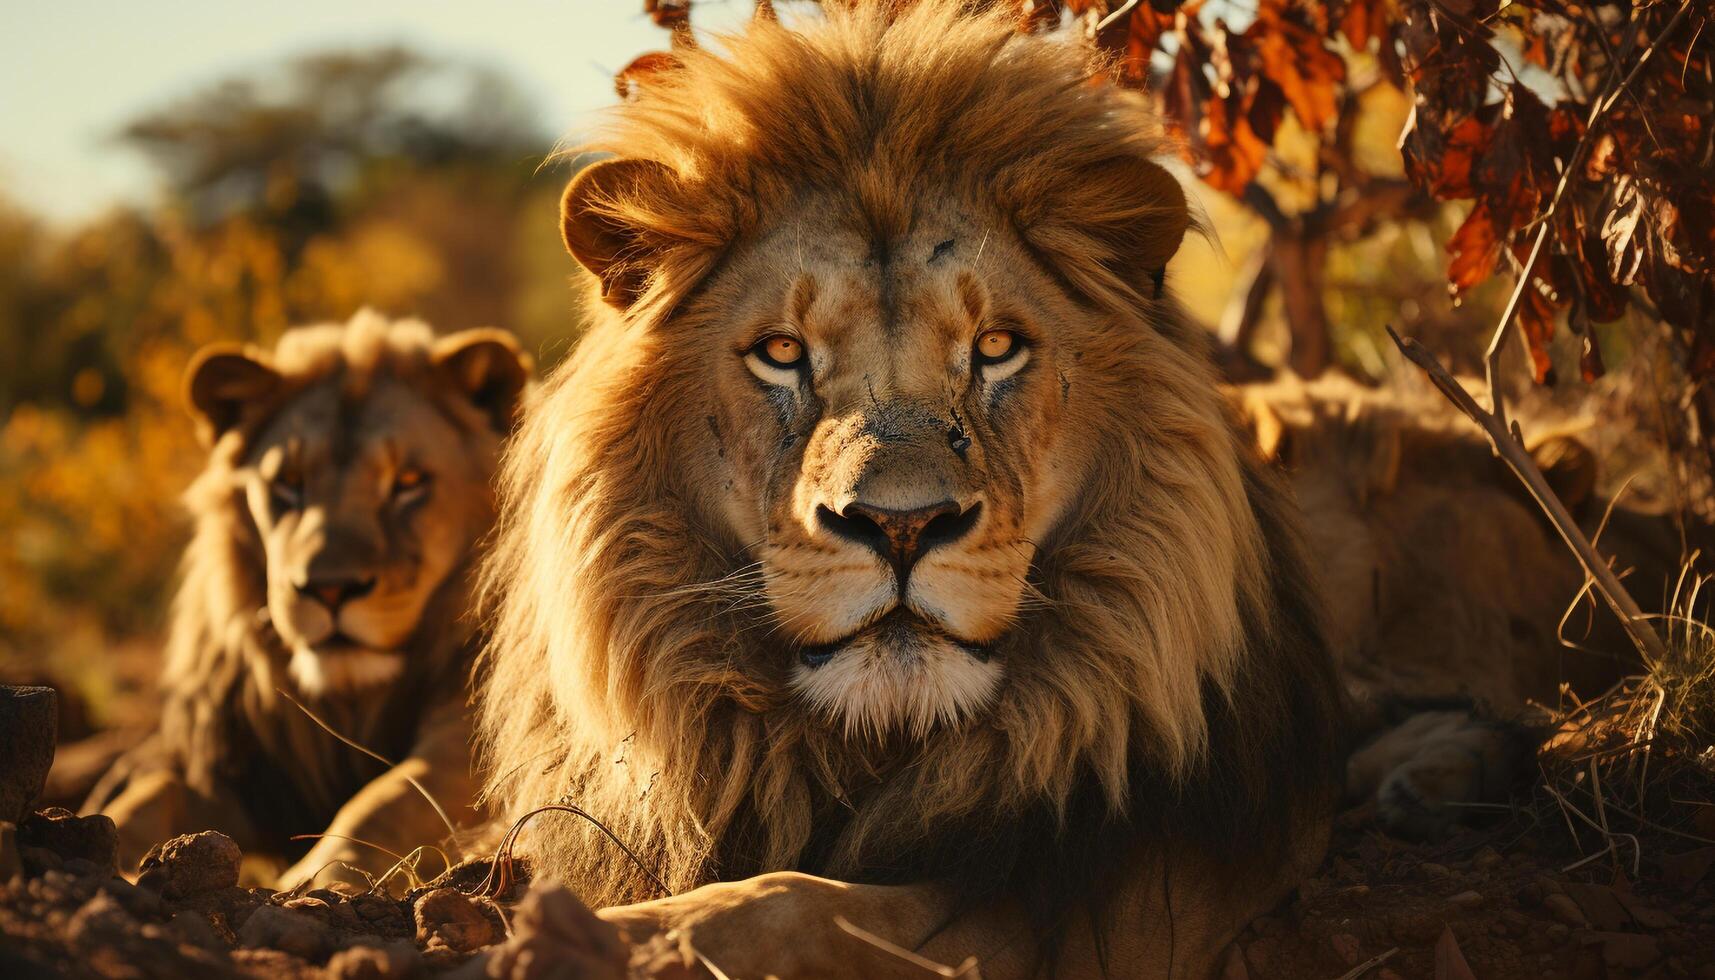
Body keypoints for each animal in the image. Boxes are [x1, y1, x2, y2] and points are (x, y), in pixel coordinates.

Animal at [85, 308, 528, 892]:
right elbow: (148, 798)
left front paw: (316, 878)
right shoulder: (232, 772)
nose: (329, 587)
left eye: (409, 481)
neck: (346, 704)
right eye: (289, 483)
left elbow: (387, 798)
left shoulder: (465, 747)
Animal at [476, 3, 1344, 974]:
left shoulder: (1127, 905)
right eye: (780, 352)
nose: (901, 525)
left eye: (996, 346)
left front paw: (604, 936)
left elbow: (806, 905)